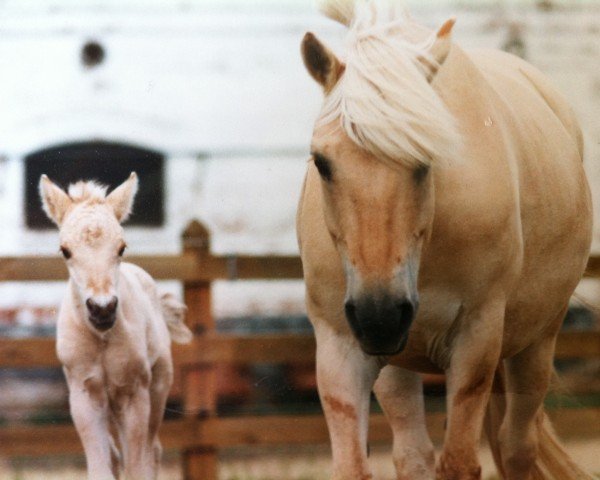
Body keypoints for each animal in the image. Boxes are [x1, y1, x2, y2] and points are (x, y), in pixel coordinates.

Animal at [38, 173, 192, 480]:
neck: (102, 339)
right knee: (116, 454)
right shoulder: (84, 395)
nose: (102, 308)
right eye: (65, 251)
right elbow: (102, 468)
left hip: (157, 389)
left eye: (121, 247)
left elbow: (138, 466)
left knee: (152, 451)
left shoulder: (134, 394)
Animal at [298, 0, 592, 480]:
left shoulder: (476, 340)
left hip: (537, 342)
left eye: (424, 162)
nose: (379, 314)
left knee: (518, 447)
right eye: (321, 162)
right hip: (397, 365)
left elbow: (459, 462)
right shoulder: (341, 347)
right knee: (413, 453)